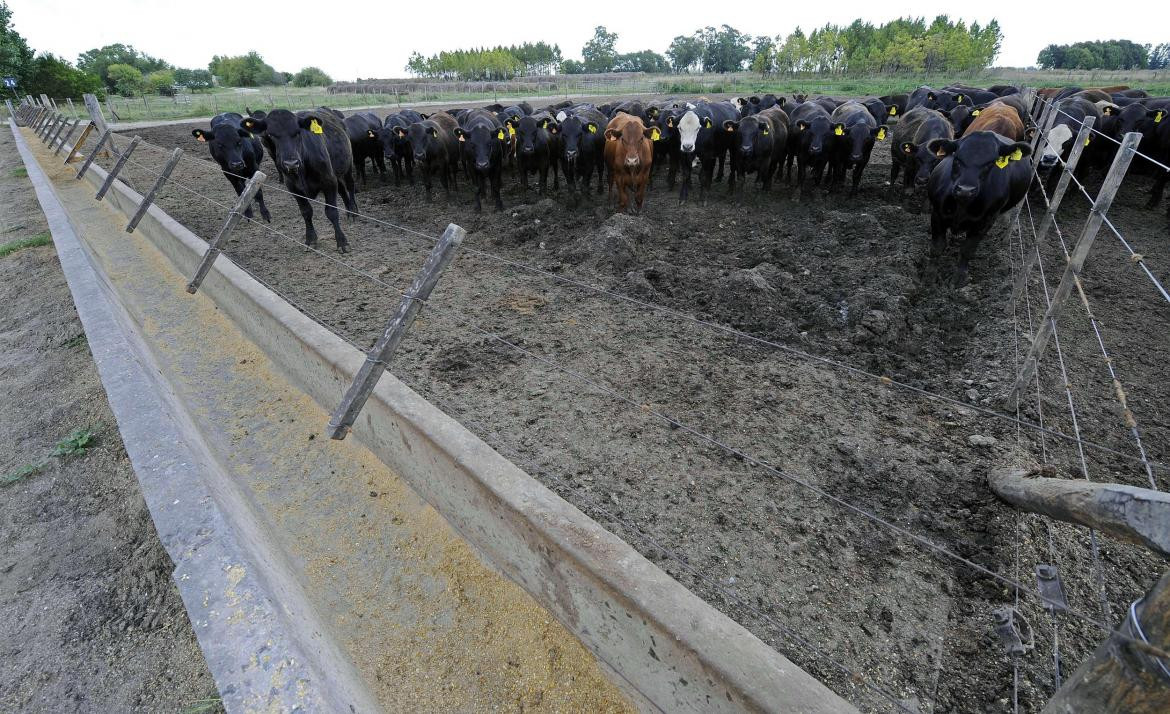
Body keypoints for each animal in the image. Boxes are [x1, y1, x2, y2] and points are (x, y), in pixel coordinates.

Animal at [242, 105, 355, 250]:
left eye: (297, 132)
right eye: (271, 134)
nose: (291, 163)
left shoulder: (329, 182)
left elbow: (331, 212)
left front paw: (341, 242)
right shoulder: (293, 188)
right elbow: (306, 212)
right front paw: (311, 239)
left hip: (348, 164)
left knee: (350, 185)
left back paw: (354, 211)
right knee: (342, 189)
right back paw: (349, 211)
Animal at [926, 130, 1029, 283]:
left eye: (990, 163)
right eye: (957, 158)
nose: (965, 190)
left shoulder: (985, 222)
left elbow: (967, 250)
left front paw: (959, 278)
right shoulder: (937, 214)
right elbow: (937, 247)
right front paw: (929, 276)